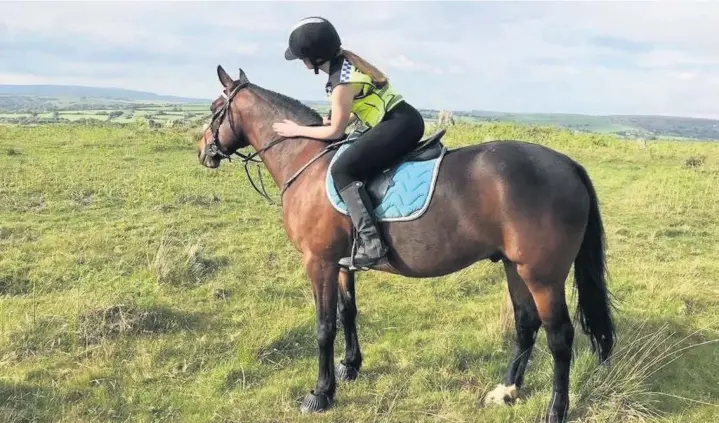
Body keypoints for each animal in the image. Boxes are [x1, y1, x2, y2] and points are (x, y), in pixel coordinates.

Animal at [198, 63, 620, 423]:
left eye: (215, 108)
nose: (203, 152)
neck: (307, 161)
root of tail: (567, 164)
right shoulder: (341, 263)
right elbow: (347, 313)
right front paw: (350, 367)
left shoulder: (318, 262)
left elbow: (323, 327)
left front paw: (321, 394)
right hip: (514, 267)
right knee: (526, 324)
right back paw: (507, 390)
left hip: (543, 276)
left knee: (560, 337)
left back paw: (555, 410)